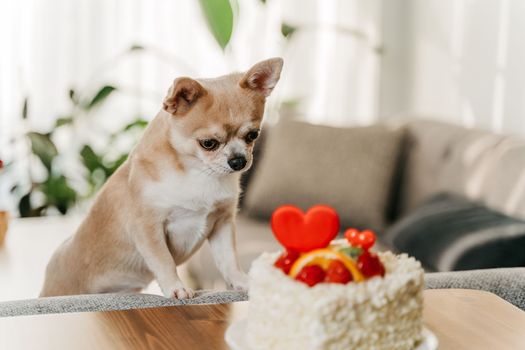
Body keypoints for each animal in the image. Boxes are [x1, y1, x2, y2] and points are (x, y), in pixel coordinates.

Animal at [40, 57, 282, 298]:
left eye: (253, 135)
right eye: (208, 143)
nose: (238, 161)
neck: (197, 172)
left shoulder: (222, 223)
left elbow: (229, 260)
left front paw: (243, 283)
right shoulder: (148, 227)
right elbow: (164, 260)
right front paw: (176, 288)